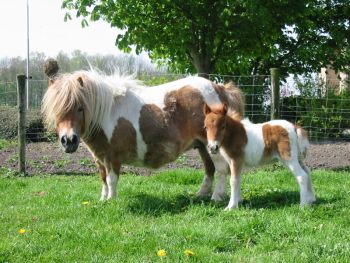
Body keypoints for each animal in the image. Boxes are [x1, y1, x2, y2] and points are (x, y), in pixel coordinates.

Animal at [41, 71, 243, 201]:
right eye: (56, 110)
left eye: (80, 108)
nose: (68, 141)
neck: (108, 112)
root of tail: (219, 88)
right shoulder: (99, 158)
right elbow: (103, 179)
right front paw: (103, 200)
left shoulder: (112, 157)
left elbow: (111, 180)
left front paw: (111, 201)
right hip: (202, 146)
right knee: (209, 169)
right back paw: (201, 194)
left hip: (212, 146)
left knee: (221, 170)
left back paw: (216, 197)